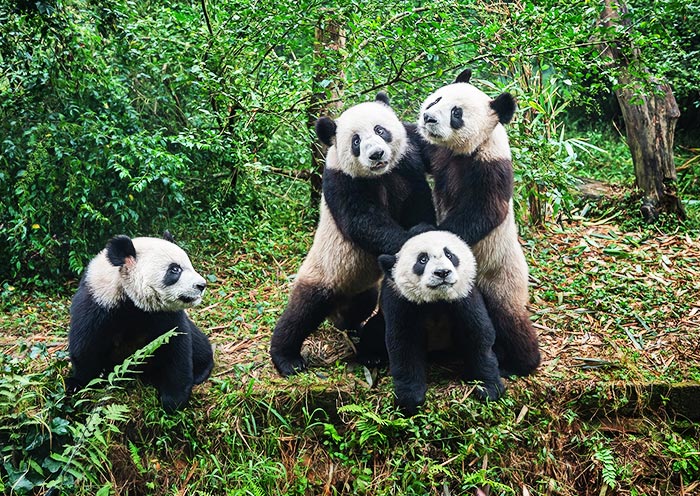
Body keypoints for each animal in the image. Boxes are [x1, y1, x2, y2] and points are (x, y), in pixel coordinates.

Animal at [69, 234, 216, 412]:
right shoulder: (98, 304)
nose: (201, 285)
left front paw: (173, 400)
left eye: (190, 265)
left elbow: (176, 349)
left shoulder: (166, 316)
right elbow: (85, 347)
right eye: (175, 270)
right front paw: (80, 384)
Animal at [270, 94, 438, 376]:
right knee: (302, 313)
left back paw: (356, 332)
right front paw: (415, 239)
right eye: (356, 141)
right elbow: (362, 222)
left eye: (380, 130)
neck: (380, 174)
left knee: (361, 306)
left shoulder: (406, 160)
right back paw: (287, 358)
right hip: (323, 274)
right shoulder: (341, 179)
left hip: (360, 287)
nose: (376, 154)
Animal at [378, 231, 504, 416]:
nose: (442, 273)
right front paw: (409, 400)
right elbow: (404, 345)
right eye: (422, 259)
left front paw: (489, 388)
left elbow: (478, 336)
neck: (436, 300)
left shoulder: (464, 298)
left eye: (450, 255)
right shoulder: (402, 303)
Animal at [416, 70, 540, 378]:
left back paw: (522, 362)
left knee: (508, 318)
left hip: (499, 275)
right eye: (436, 99)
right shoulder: (439, 155)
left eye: (456, 113)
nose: (428, 117)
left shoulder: (490, 168)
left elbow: (484, 213)